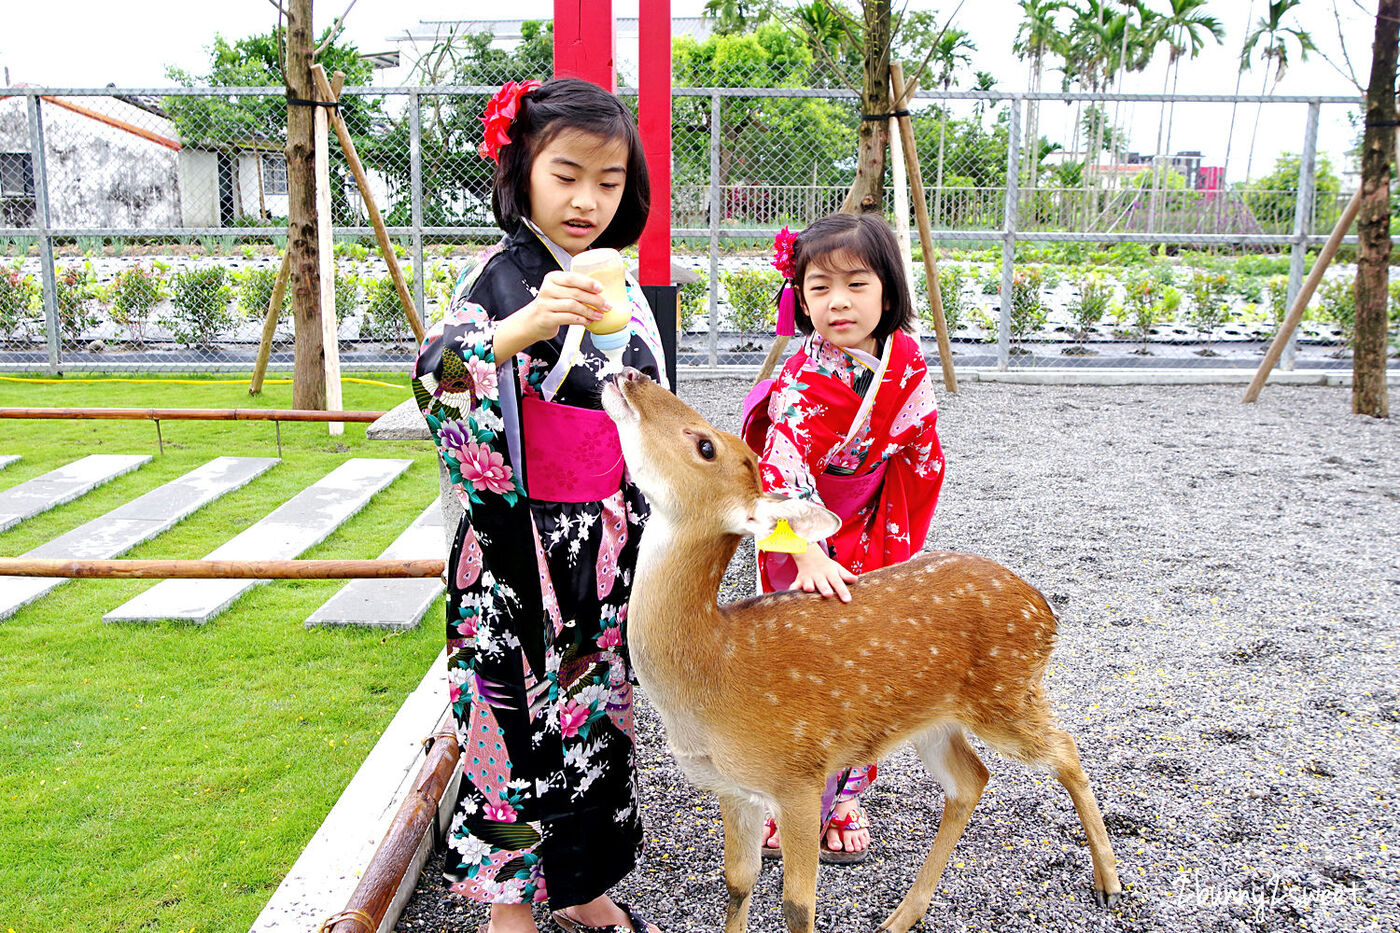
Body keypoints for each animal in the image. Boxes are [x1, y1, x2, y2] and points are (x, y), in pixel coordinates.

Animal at [602, 369, 1125, 930]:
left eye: (705, 445)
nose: (630, 374)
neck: (711, 671)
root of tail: (1046, 612)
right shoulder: (733, 788)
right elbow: (738, 882)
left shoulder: (799, 776)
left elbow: (797, 906)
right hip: (936, 718)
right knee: (971, 779)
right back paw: (902, 916)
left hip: (1007, 692)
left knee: (1065, 748)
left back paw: (1109, 883)